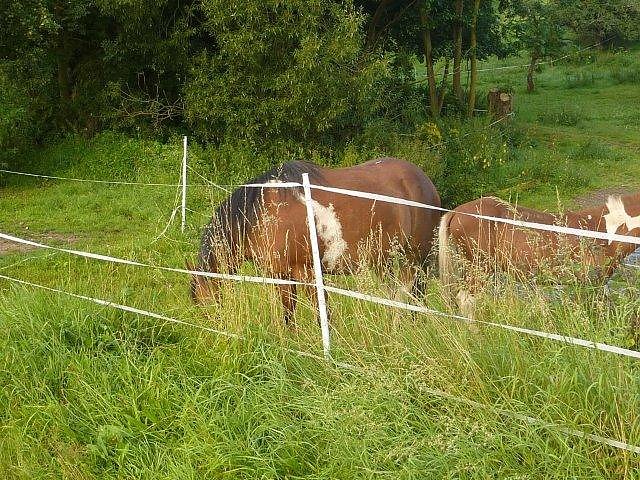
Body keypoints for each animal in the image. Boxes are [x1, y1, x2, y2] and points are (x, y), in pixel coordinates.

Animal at [189, 158, 441, 326]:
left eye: (203, 301)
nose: (213, 331)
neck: (263, 212)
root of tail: (424, 180)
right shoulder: (283, 275)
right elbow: (289, 312)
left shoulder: (306, 273)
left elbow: (319, 314)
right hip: (384, 262)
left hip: (415, 259)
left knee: (409, 295)